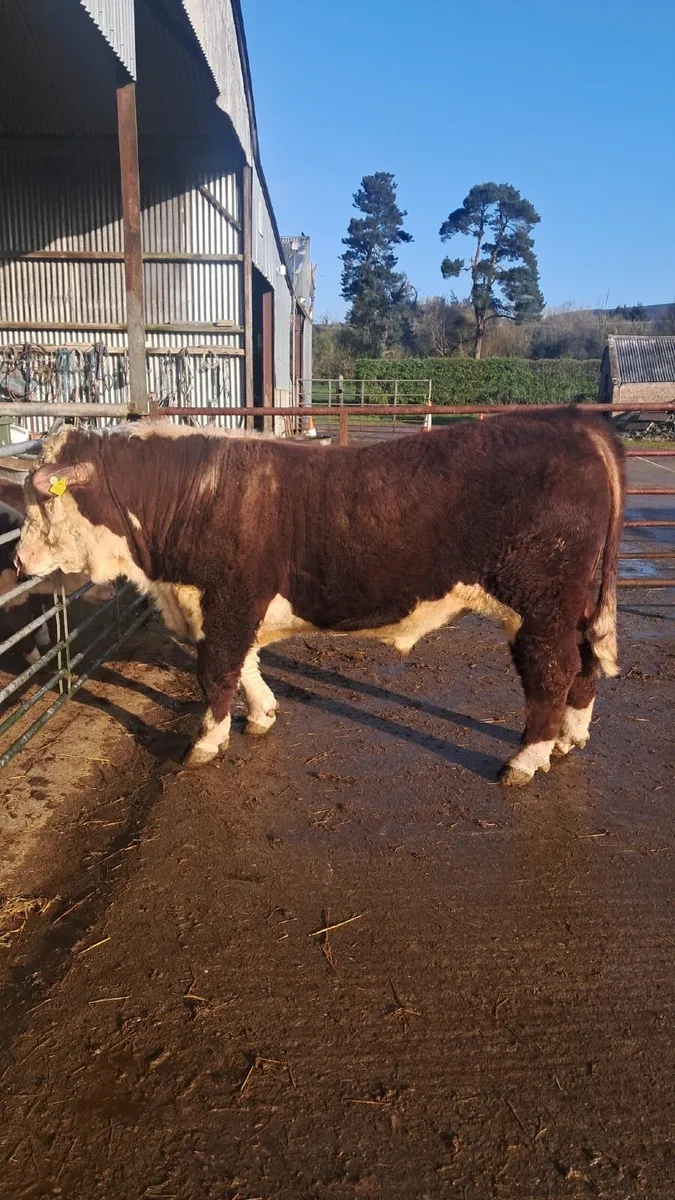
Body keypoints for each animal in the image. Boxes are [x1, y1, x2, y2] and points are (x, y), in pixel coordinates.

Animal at [15, 409, 624, 786]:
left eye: (46, 501)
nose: (18, 561)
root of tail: (572, 422)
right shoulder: (229, 607)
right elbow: (246, 663)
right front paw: (262, 714)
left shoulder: (228, 601)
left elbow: (216, 670)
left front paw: (207, 742)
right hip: (569, 607)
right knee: (584, 663)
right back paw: (571, 737)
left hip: (540, 602)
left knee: (552, 671)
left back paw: (527, 757)